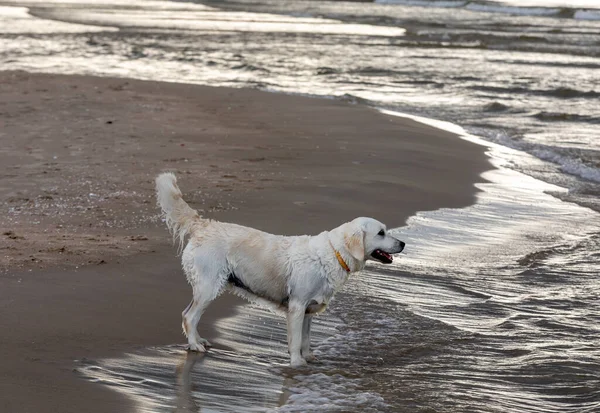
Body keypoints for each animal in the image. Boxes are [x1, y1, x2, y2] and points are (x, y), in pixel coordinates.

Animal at [157, 172, 406, 366]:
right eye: (381, 233)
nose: (403, 243)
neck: (334, 253)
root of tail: (203, 225)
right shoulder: (297, 306)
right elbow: (295, 340)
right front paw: (296, 363)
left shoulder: (308, 310)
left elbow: (306, 339)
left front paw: (308, 358)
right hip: (209, 286)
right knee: (189, 316)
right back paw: (195, 345)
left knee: (187, 313)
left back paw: (199, 340)